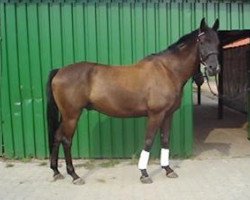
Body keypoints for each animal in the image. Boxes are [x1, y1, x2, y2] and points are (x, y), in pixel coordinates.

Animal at [46, 18, 219, 184]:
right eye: (202, 41)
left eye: (217, 42)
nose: (213, 68)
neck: (168, 71)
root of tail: (60, 71)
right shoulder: (155, 115)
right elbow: (149, 141)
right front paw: (144, 173)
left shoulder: (168, 115)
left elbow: (165, 140)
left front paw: (168, 170)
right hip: (72, 115)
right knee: (66, 140)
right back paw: (74, 175)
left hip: (66, 116)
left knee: (57, 136)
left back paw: (56, 172)